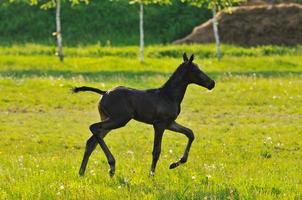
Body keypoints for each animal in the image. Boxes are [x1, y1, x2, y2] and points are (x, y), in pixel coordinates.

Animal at [73, 53, 215, 177]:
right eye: (196, 70)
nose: (212, 83)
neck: (169, 95)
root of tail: (104, 93)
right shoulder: (159, 124)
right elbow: (156, 151)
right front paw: (151, 175)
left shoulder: (170, 123)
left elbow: (190, 133)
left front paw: (174, 164)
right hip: (119, 119)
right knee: (94, 127)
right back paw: (112, 166)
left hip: (109, 119)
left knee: (91, 142)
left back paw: (82, 172)